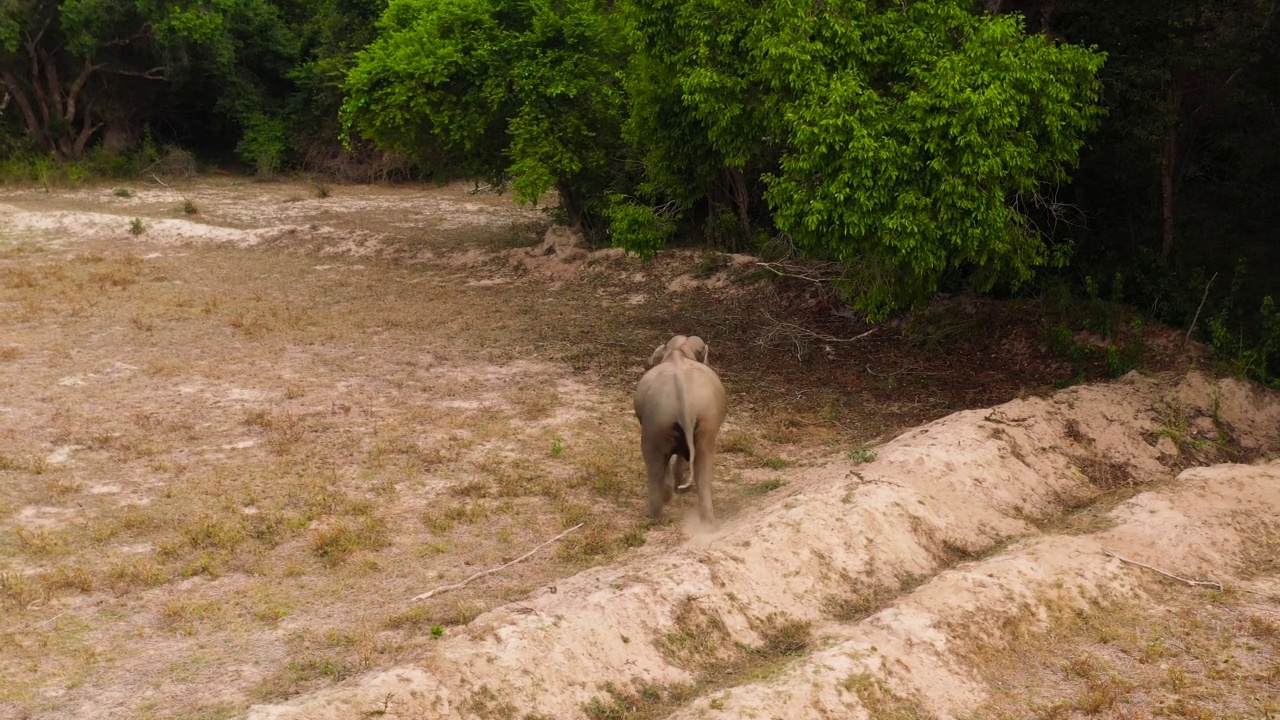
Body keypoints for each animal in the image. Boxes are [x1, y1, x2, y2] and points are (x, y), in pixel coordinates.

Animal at [632, 333, 727, 525]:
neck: (679, 352)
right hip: (705, 422)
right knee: (703, 463)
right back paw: (708, 522)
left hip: (657, 421)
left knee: (654, 461)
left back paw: (655, 512)